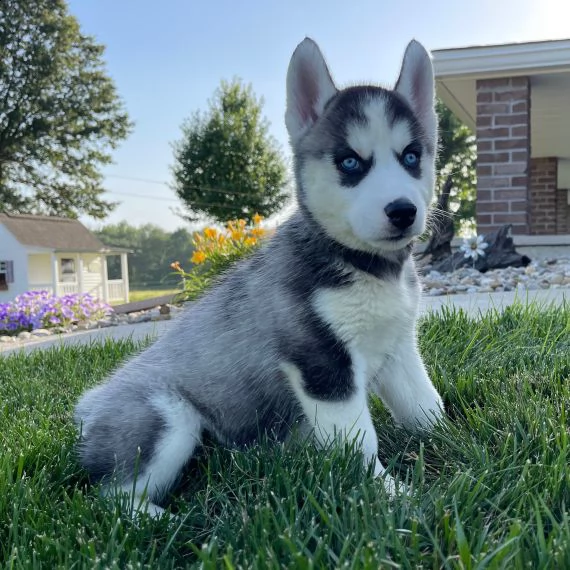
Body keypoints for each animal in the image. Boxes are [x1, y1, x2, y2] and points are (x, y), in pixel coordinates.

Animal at [72, 36, 444, 516]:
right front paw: (392, 495)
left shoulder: (399, 348)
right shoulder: (321, 363)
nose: (403, 211)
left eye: (412, 156)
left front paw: (457, 440)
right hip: (166, 417)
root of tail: (89, 406)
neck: (371, 268)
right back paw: (163, 519)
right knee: (111, 498)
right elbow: (361, 443)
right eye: (349, 163)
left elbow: (425, 405)